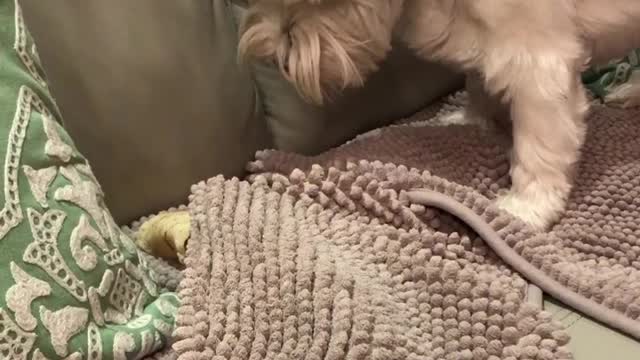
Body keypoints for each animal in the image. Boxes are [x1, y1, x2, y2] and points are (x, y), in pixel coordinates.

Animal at [238, 0, 640, 231]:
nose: (273, 55)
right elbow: (478, 82)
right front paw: (469, 120)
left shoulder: (539, 61)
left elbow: (539, 147)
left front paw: (528, 208)